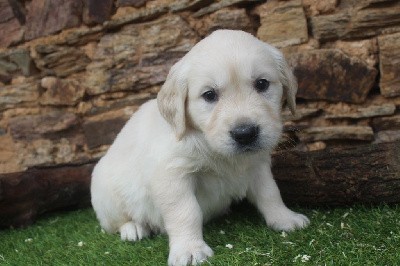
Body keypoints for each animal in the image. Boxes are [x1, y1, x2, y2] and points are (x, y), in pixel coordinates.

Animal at [91, 29, 310, 266]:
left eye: (262, 84)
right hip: (106, 195)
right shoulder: (172, 175)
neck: (208, 142)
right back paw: (134, 228)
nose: (245, 134)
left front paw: (285, 218)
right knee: (116, 222)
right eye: (209, 95)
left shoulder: (257, 165)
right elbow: (186, 211)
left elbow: (270, 193)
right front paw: (189, 249)